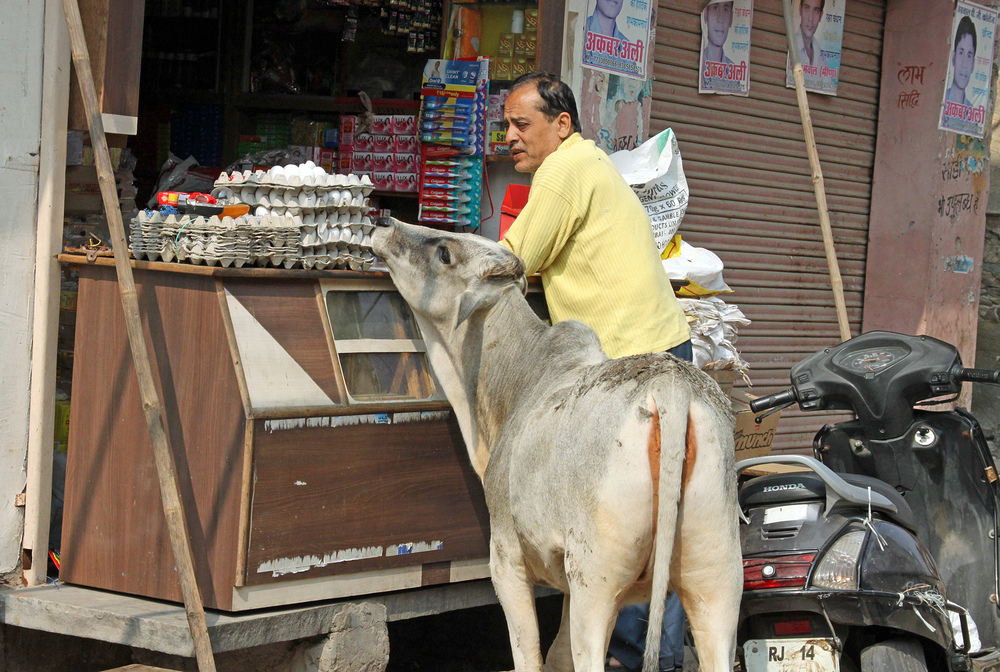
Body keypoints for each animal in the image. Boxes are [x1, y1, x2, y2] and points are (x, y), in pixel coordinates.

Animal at [372, 218, 740, 668]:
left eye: (445, 253)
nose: (384, 222)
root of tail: (671, 384)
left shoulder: (506, 560)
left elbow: (529, 653)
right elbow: (558, 653)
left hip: (596, 583)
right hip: (717, 584)